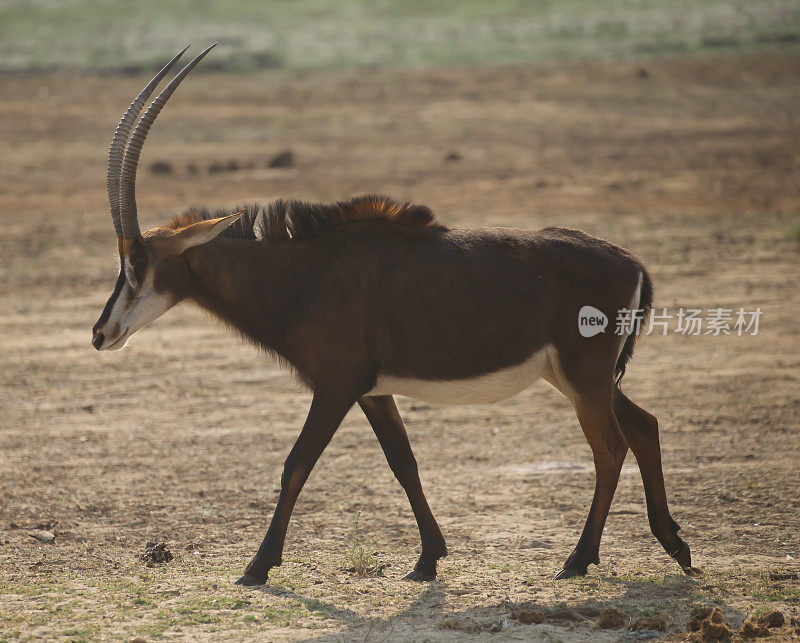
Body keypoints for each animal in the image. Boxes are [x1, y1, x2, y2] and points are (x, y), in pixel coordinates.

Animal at [92, 46, 692, 588]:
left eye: (136, 260)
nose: (101, 334)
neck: (307, 273)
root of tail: (633, 264)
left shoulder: (336, 385)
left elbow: (296, 463)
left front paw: (257, 567)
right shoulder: (373, 391)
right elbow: (404, 463)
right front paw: (428, 560)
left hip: (584, 376)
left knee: (610, 448)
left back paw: (579, 559)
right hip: (579, 377)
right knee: (644, 426)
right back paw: (675, 545)